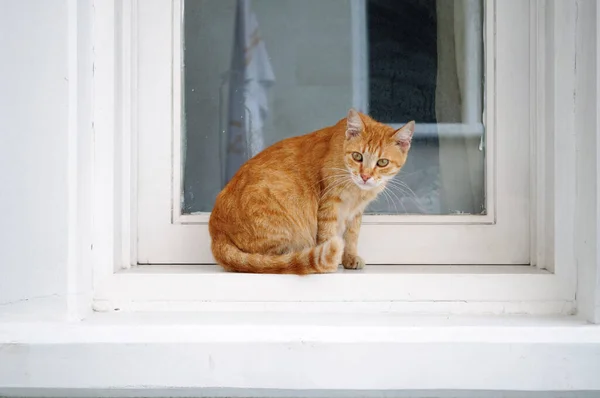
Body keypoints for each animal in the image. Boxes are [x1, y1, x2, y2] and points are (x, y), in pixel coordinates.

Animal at [210, 110, 412, 276]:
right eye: (357, 156)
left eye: (382, 162)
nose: (365, 176)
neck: (356, 192)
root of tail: (216, 230)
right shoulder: (330, 204)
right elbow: (328, 234)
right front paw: (331, 262)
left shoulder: (355, 212)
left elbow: (352, 236)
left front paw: (350, 258)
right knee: (271, 261)